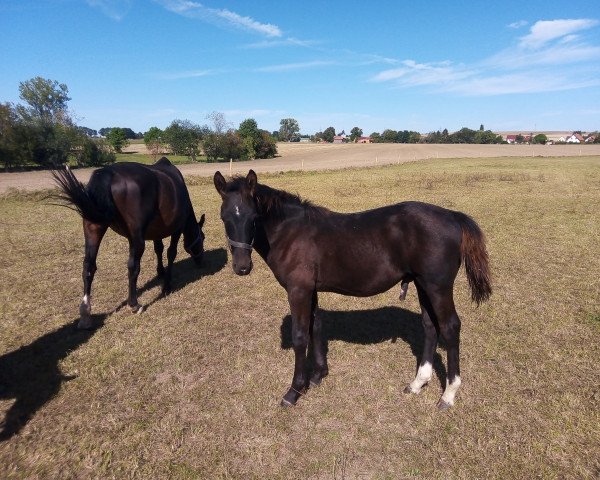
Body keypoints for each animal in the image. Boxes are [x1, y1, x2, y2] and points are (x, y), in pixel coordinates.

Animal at [52, 159, 206, 328]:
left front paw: (160, 271)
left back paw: (85, 313)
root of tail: (108, 173)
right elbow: (171, 253)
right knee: (132, 266)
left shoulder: (156, 232)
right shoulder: (177, 229)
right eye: (202, 237)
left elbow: (158, 249)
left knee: (88, 266)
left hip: (93, 228)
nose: (201, 261)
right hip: (136, 239)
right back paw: (134, 304)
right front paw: (166, 286)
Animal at [213, 169, 490, 408]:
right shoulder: (310, 290)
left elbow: (300, 335)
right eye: (224, 218)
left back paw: (448, 394)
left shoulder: (298, 290)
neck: (291, 233)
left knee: (450, 327)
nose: (242, 267)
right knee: (431, 326)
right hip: (423, 284)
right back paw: (417, 383)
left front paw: (294, 390)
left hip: (437, 286)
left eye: (253, 218)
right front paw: (318, 375)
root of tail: (452, 216)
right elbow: (316, 326)